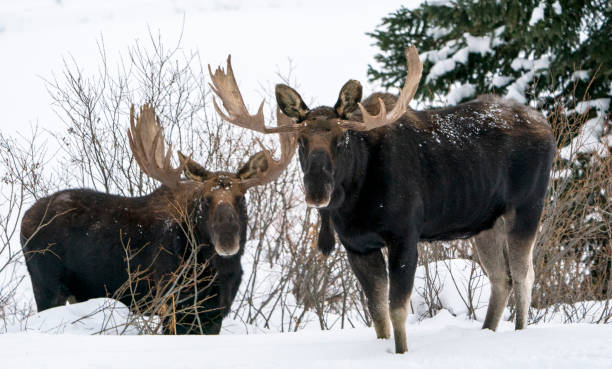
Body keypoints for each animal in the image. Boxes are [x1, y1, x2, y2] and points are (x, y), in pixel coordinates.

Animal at [20, 103, 296, 334]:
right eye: (205, 199)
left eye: (241, 197)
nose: (228, 240)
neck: (217, 270)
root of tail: (25, 218)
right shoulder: (172, 304)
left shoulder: (214, 312)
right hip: (46, 286)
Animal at [209, 47, 556, 352]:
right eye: (301, 140)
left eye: (342, 139)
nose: (317, 191)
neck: (354, 203)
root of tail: (547, 126)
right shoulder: (357, 246)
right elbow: (376, 313)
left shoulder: (404, 235)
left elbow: (397, 309)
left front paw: (401, 352)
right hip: (484, 223)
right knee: (501, 278)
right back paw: (486, 332)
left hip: (528, 207)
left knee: (524, 276)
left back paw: (519, 332)